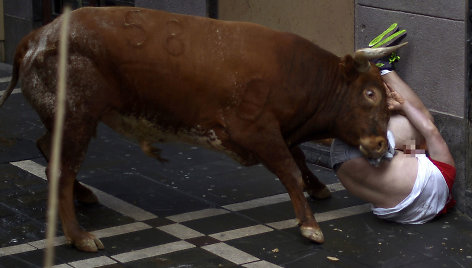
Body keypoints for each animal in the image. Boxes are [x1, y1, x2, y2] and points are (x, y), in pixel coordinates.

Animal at [0, 7, 406, 252]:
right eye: (370, 93)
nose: (378, 146)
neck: (301, 76)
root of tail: (36, 37)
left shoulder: (278, 131)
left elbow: (300, 157)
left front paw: (319, 187)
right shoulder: (256, 129)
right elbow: (289, 169)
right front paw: (310, 226)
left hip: (66, 120)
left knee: (47, 148)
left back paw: (84, 196)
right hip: (77, 117)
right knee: (61, 169)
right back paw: (79, 236)